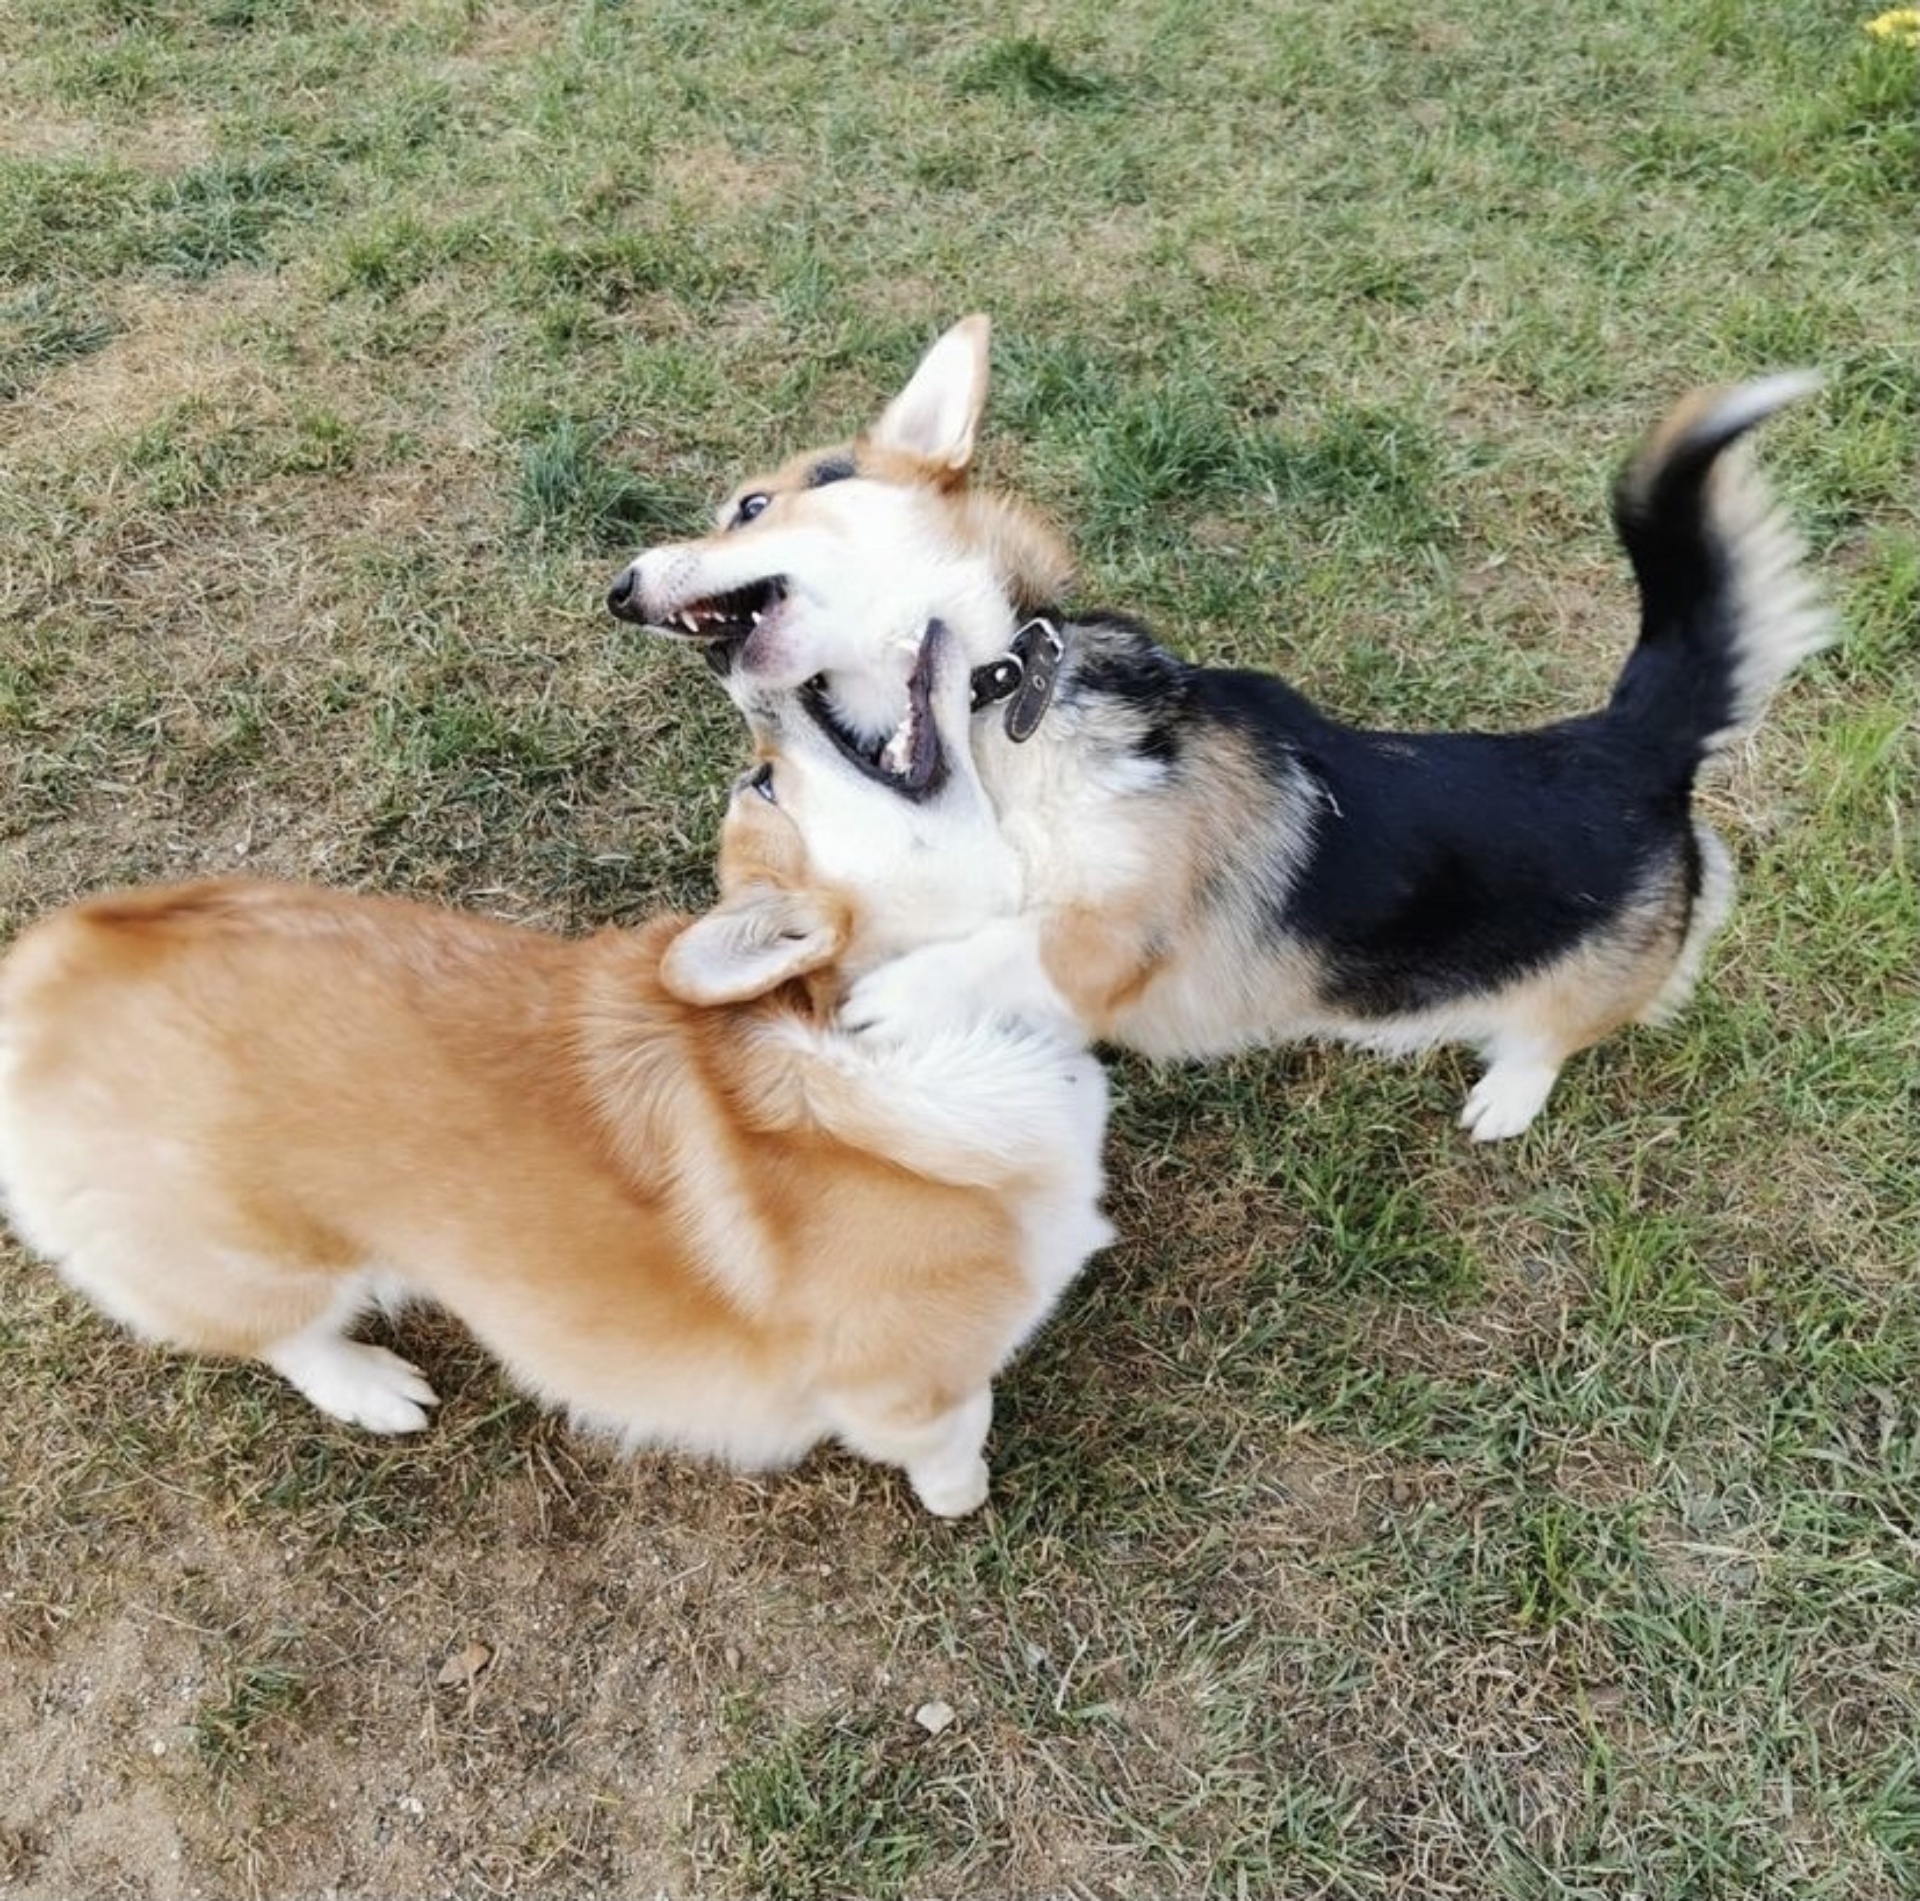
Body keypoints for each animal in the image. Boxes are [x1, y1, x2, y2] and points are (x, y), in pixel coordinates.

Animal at [610, 320, 1827, 1136]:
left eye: (751, 507)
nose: (619, 588)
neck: (1001, 709)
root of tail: (1630, 740)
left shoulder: (1121, 929)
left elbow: (1022, 942)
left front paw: (896, 997)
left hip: (1587, 986)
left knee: (1563, 1030)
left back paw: (1508, 1093)